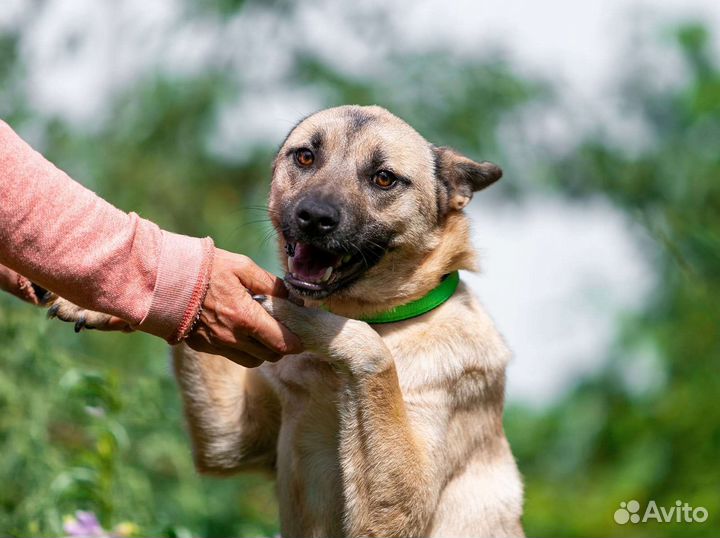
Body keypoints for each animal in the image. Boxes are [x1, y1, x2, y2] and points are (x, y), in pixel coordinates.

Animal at [49, 105, 524, 536]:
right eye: (306, 157)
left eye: (384, 178)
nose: (314, 217)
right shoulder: (231, 440)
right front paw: (103, 302)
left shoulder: (398, 512)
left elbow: (370, 349)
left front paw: (287, 310)